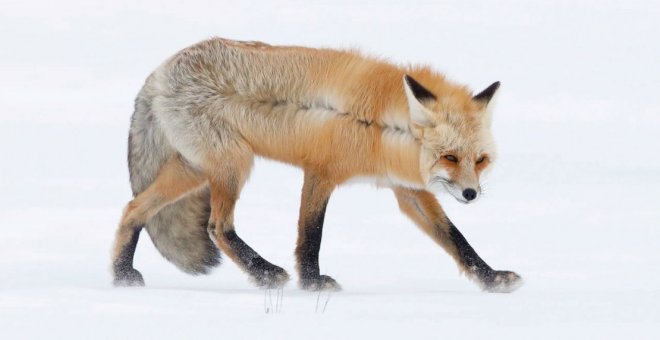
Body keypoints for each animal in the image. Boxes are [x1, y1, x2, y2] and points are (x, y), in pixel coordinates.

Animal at [114, 36, 524, 292]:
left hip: (196, 171)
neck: (380, 127)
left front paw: (491, 279)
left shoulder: (407, 191)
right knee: (218, 228)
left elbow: (455, 238)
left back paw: (121, 274)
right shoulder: (321, 173)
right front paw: (312, 283)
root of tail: (159, 71)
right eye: (449, 157)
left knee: (133, 209)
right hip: (233, 165)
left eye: (481, 160)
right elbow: (311, 235)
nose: (471, 194)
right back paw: (265, 273)